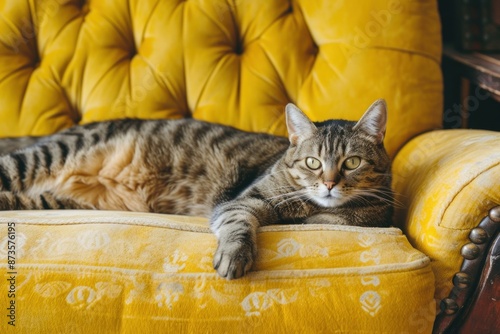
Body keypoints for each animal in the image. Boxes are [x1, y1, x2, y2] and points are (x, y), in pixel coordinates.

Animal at [0, 100, 394, 280]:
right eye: (313, 162)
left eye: (352, 163)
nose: (329, 183)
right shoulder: (242, 200)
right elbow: (239, 224)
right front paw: (234, 256)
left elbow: (345, 218)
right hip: (41, 158)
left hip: (50, 198)